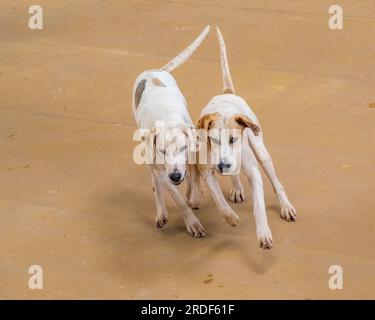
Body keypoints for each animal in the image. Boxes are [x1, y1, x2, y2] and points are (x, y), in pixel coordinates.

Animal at [132, 26, 210, 238]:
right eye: (163, 151)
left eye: (183, 148)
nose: (175, 176)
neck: (167, 120)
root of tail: (154, 70)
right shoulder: (161, 170)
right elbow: (178, 200)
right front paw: (192, 223)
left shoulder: (192, 152)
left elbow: (194, 178)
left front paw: (195, 196)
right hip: (149, 160)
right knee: (156, 187)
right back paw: (161, 213)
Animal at [197, 26, 296, 248]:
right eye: (213, 140)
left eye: (234, 139)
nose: (223, 164)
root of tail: (226, 92)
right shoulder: (207, 172)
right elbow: (219, 201)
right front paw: (231, 218)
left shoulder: (253, 172)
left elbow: (259, 206)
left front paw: (263, 233)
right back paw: (236, 188)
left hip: (261, 152)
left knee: (277, 183)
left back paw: (286, 206)